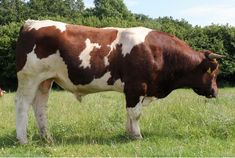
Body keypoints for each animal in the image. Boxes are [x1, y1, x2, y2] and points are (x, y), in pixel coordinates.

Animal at [16, 19, 222, 144]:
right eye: (213, 72)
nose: (215, 92)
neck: (159, 52)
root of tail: (31, 23)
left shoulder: (133, 91)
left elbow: (129, 114)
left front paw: (129, 133)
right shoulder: (136, 87)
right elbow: (135, 113)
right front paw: (137, 136)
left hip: (45, 80)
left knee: (40, 107)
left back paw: (47, 138)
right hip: (29, 78)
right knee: (22, 105)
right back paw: (23, 140)